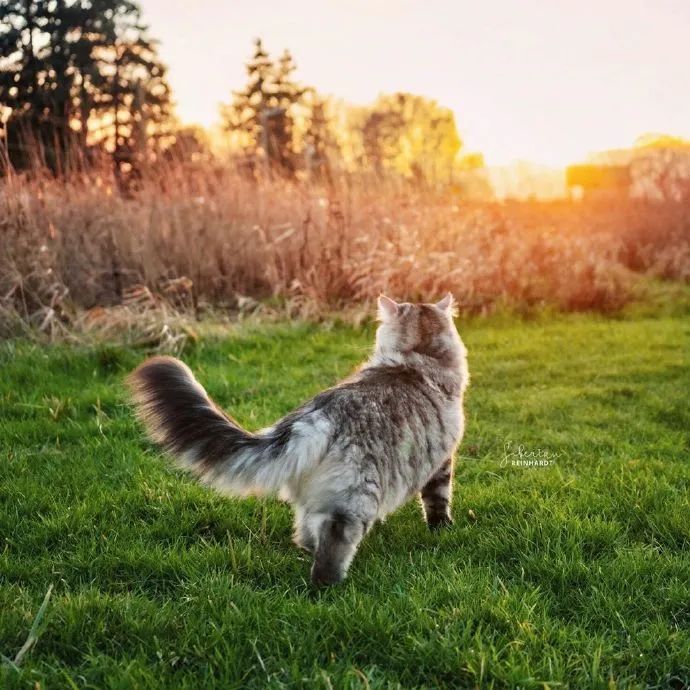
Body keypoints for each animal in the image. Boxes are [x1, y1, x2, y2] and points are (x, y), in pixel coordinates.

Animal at [126, 292, 468, 584]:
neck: (417, 356)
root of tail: (315, 415)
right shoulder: (443, 460)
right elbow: (438, 500)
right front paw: (443, 528)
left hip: (313, 499)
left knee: (305, 532)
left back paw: (306, 553)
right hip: (356, 498)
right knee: (333, 543)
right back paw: (329, 587)